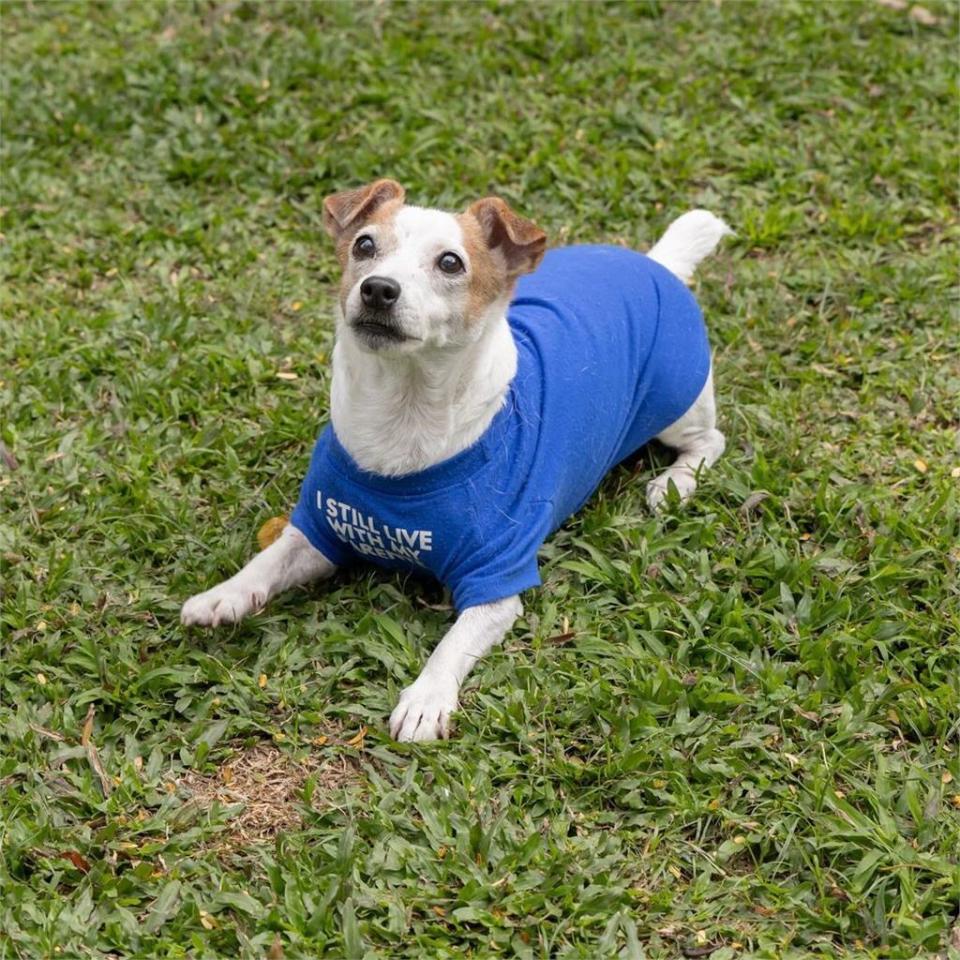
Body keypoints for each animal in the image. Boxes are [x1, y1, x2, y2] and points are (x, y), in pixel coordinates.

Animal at [182, 184, 728, 748]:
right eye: (363, 245)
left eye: (450, 262)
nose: (378, 289)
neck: (402, 414)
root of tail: (656, 263)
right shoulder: (321, 528)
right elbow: (269, 560)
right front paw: (224, 595)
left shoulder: (498, 578)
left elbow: (451, 645)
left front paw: (426, 698)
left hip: (677, 399)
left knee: (711, 439)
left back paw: (674, 483)